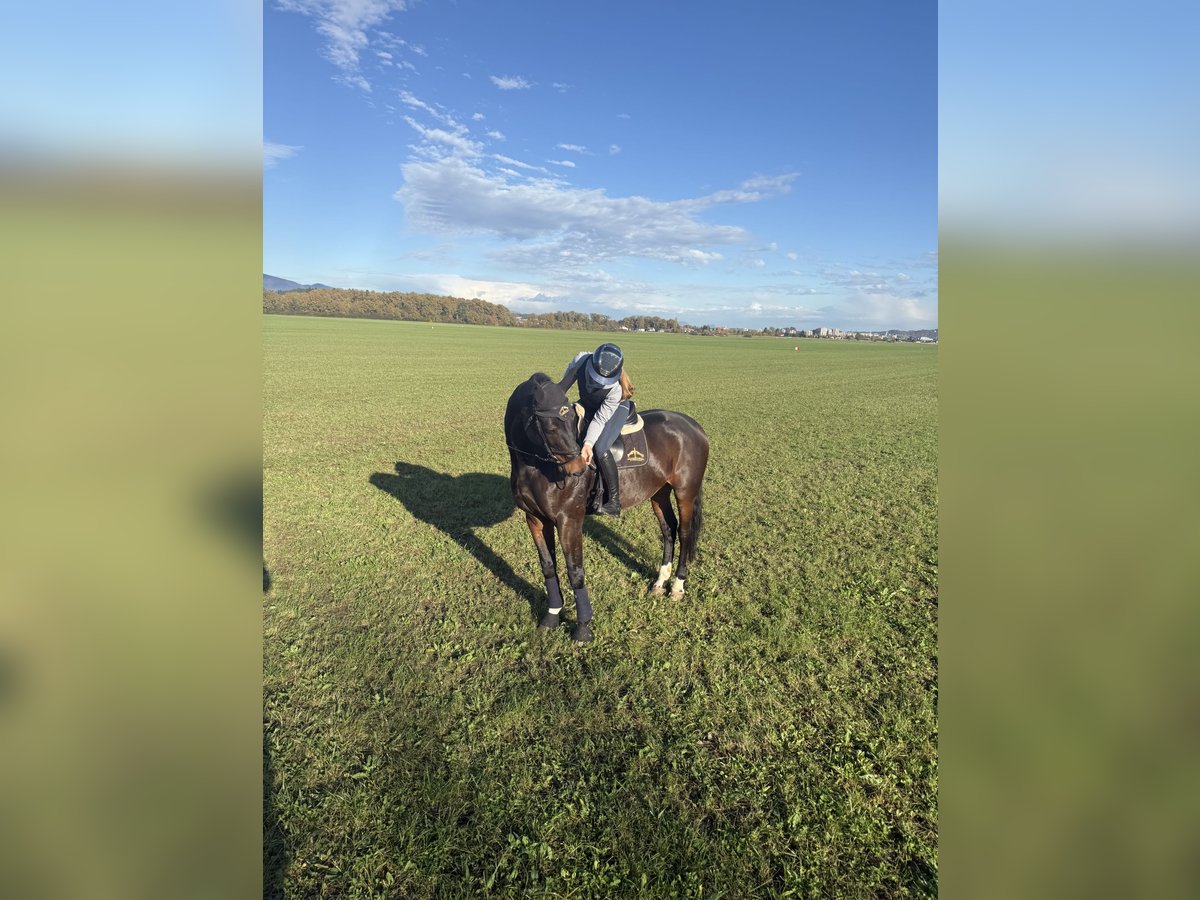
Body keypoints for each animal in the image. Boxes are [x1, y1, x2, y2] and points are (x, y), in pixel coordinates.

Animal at [505, 372, 709, 643]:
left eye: (571, 420)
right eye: (550, 426)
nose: (580, 466)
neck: (535, 467)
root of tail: (693, 425)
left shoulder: (569, 520)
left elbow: (575, 572)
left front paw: (583, 627)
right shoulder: (535, 519)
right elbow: (548, 567)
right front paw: (552, 615)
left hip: (685, 492)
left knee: (684, 534)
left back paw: (677, 586)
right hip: (659, 492)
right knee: (668, 530)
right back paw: (659, 582)